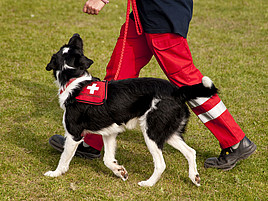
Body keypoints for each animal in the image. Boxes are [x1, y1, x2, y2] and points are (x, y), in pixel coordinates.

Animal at [44, 33, 218, 187]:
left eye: (73, 47)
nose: (76, 34)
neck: (75, 81)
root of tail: (177, 91)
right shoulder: (109, 133)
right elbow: (108, 159)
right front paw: (119, 171)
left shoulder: (73, 134)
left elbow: (64, 158)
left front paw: (55, 173)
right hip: (168, 132)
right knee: (190, 152)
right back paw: (194, 177)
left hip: (151, 133)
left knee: (161, 164)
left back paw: (148, 184)